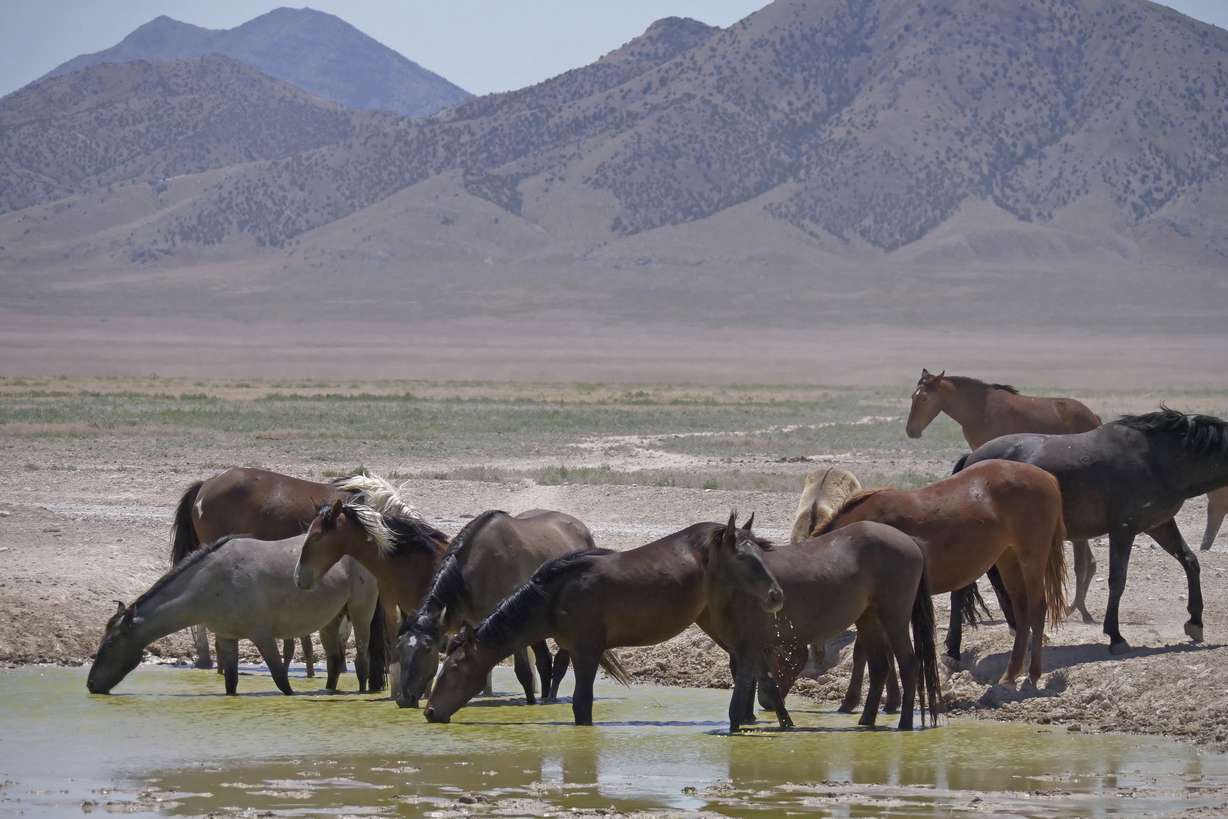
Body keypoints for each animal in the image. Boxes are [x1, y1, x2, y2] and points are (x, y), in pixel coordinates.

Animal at [88, 533, 379, 696]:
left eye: (110, 644)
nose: (91, 684)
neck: (212, 582)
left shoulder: (262, 637)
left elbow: (281, 680)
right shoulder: (227, 637)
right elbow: (231, 682)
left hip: (360, 614)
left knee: (361, 658)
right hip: (331, 620)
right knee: (334, 661)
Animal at [394, 508, 597, 709]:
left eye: (427, 648)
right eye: (400, 647)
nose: (404, 699)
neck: (481, 566)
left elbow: (523, 672)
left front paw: (530, 704)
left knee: (560, 662)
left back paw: (551, 698)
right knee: (544, 662)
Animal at [705, 513, 942, 732]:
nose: (764, 704)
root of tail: (910, 540)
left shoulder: (749, 643)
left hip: (894, 618)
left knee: (909, 664)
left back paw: (904, 724)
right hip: (869, 619)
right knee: (879, 667)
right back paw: (866, 722)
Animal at [799, 462, 1067, 710]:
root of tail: (1047, 477)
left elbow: (872, 652)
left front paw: (860, 701)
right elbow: (871, 652)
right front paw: (880, 700)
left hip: (1031, 558)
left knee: (1036, 609)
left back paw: (1032, 674)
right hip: (1008, 558)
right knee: (1021, 613)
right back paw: (1010, 675)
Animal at [959, 408, 1228, 654]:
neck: (1156, 459)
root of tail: (972, 459)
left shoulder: (1160, 525)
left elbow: (1190, 561)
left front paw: (1195, 622)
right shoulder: (1123, 530)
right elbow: (1117, 580)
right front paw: (1116, 636)